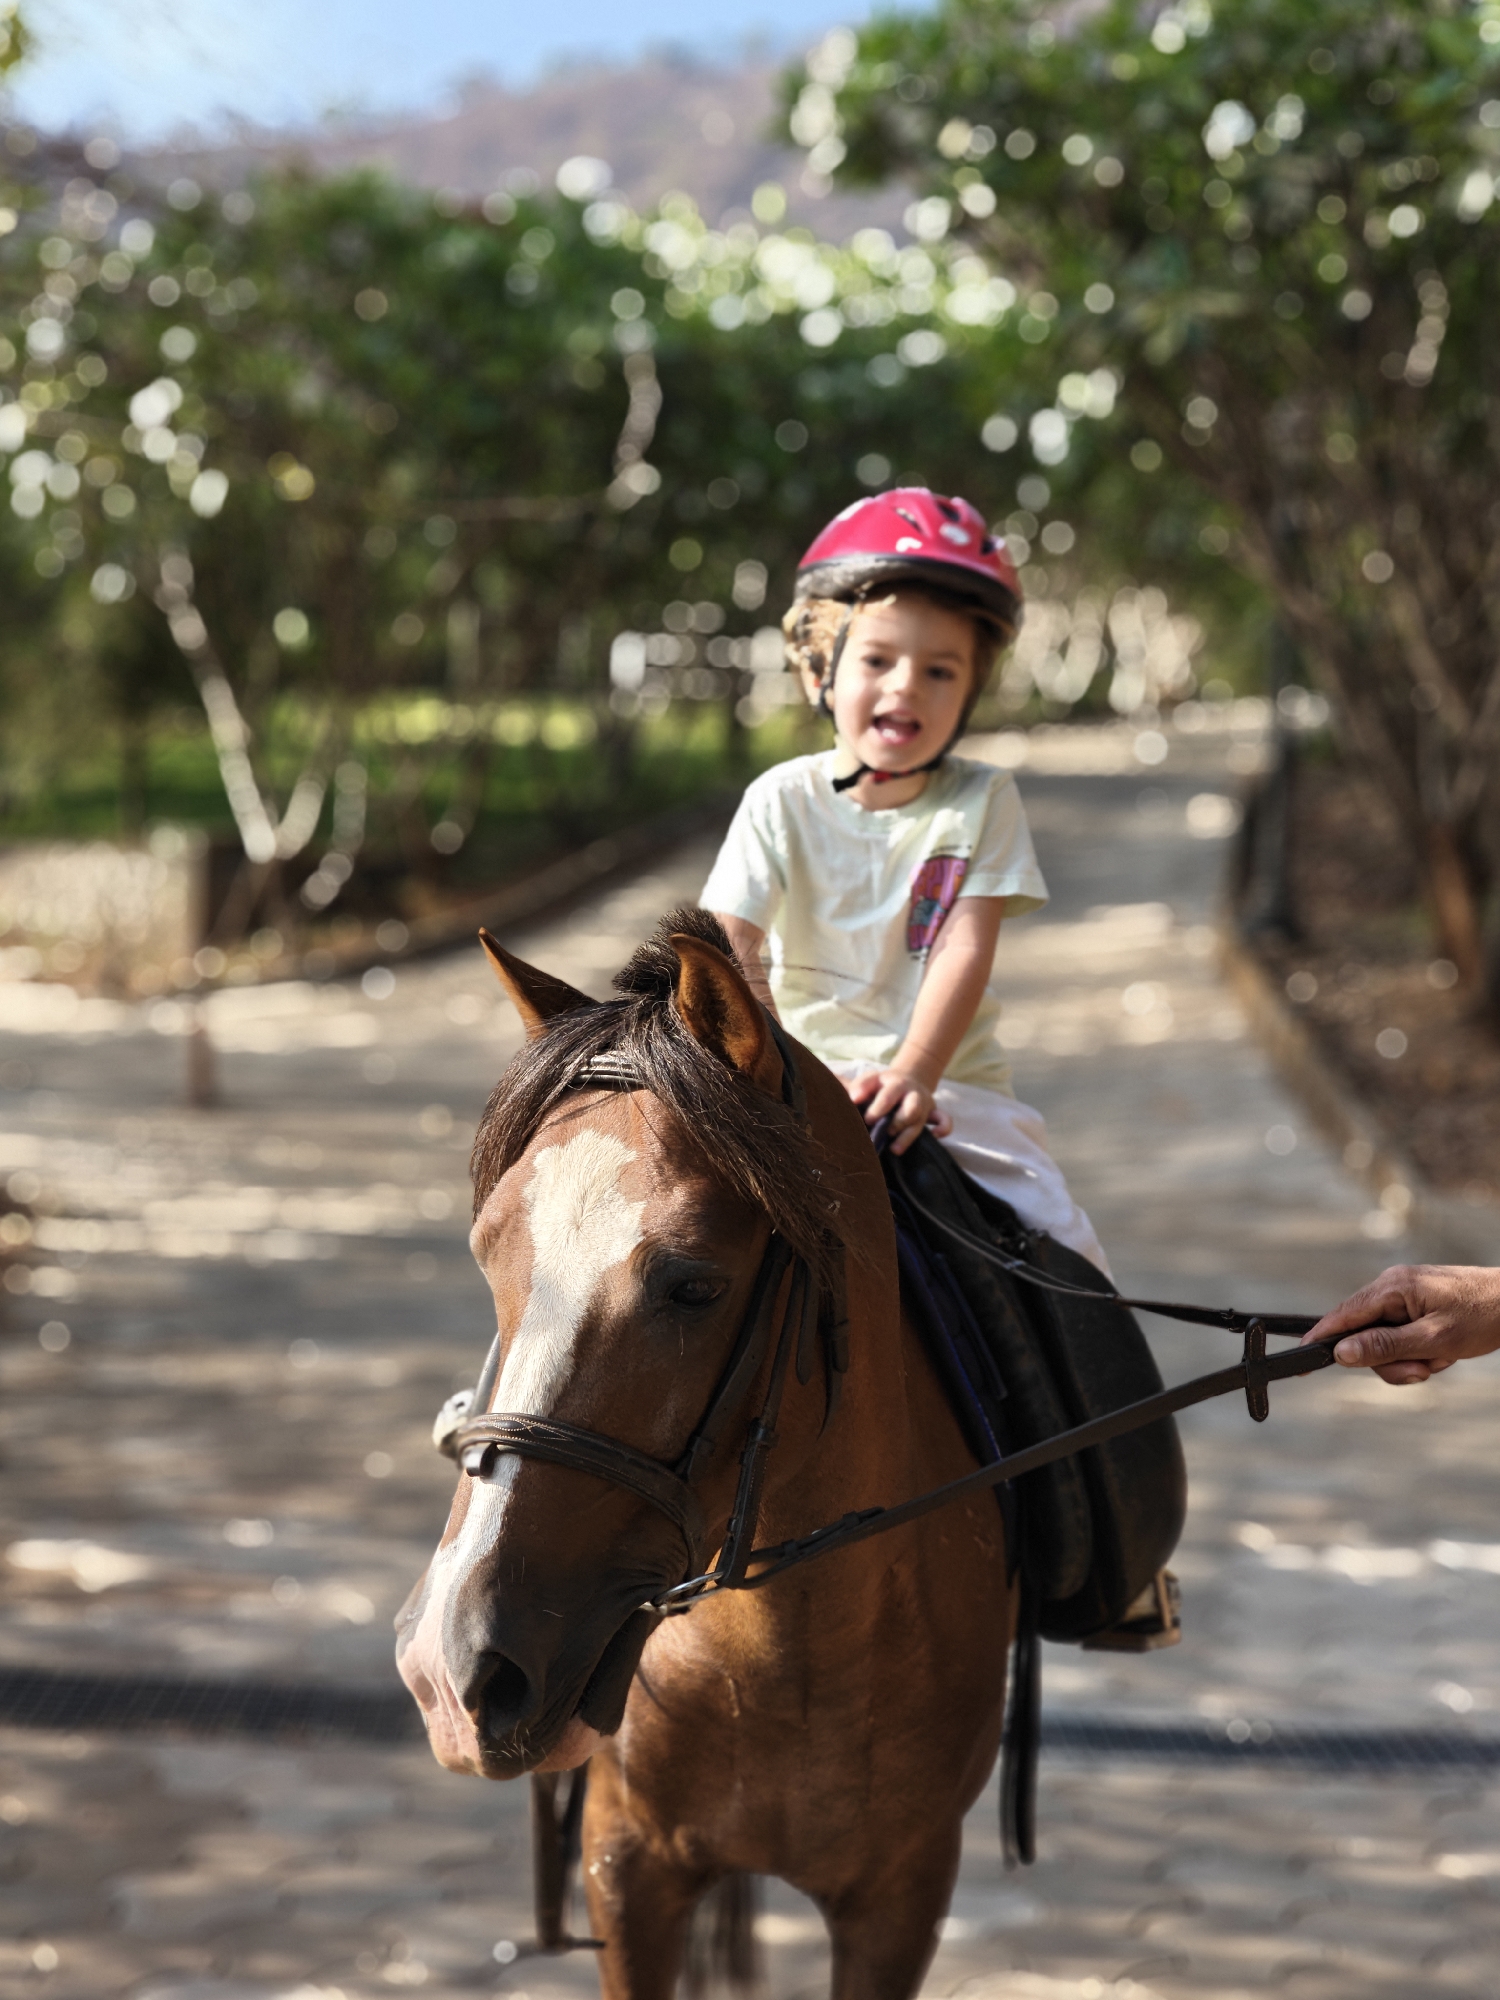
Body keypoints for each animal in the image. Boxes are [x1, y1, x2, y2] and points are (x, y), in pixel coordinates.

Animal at [396, 908, 1014, 1997]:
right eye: (486, 1252)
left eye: (693, 1285)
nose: (449, 1664)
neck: (783, 1650)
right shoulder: (627, 1868)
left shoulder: (902, 1895)